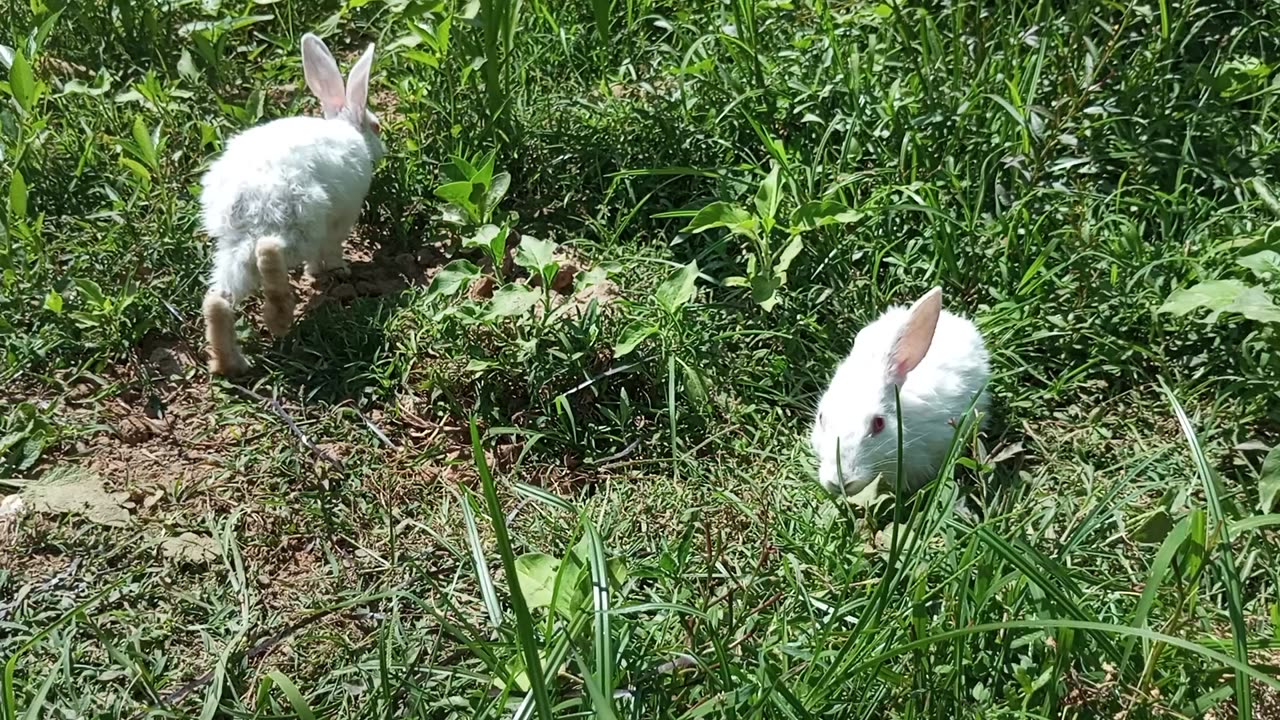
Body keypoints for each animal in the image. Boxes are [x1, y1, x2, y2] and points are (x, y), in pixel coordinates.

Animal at [199, 32, 384, 376]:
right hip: (300, 224)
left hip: (232, 252)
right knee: (270, 253)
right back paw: (279, 317)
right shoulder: (340, 222)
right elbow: (331, 250)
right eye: (376, 126)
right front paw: (336, 271)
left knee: (218, 299)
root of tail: (246, 206)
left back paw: (230, 364)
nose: (383, 146)